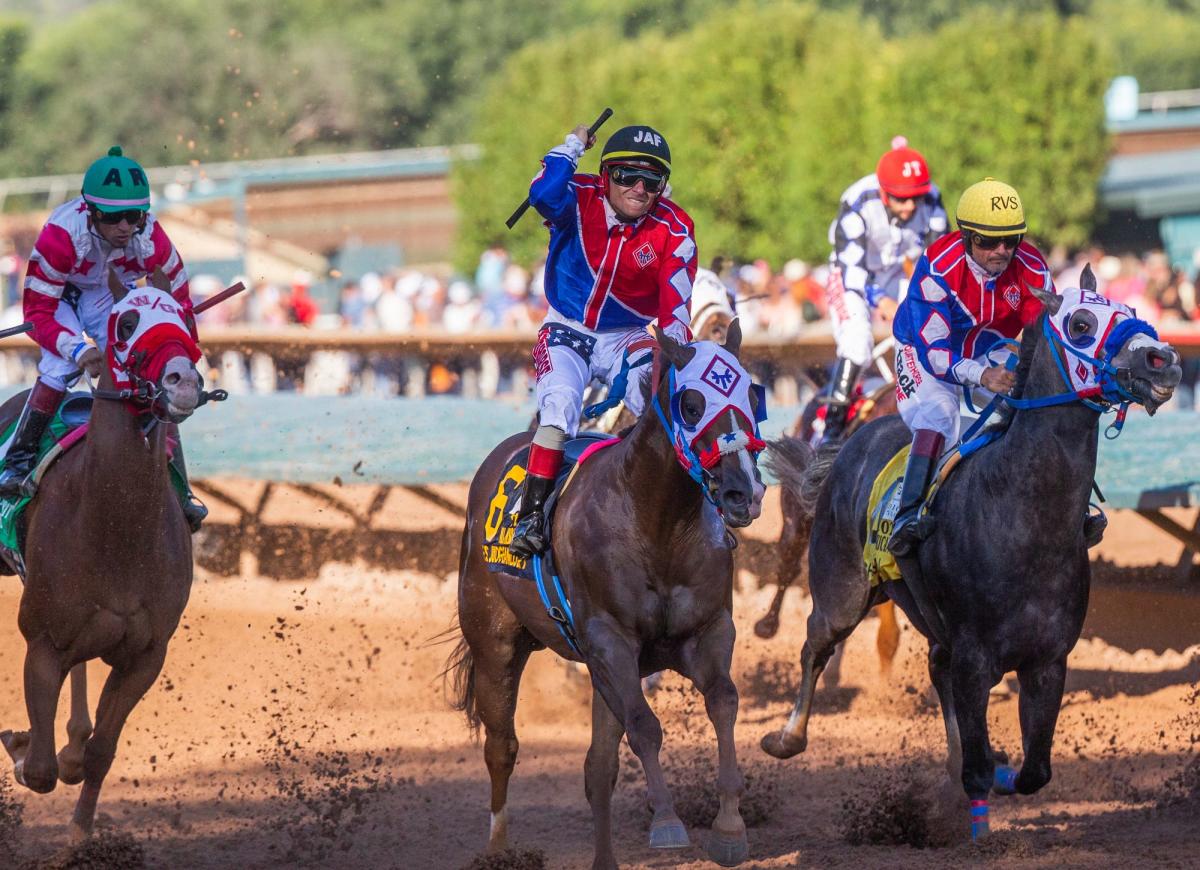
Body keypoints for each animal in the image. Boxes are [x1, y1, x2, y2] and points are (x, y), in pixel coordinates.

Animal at [451, 324, 768, 868]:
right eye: (691, 404)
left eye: (751, 396)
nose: (742, 492)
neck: (655, 522)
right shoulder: (610, 639)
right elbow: (645, 726)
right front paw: (667, 823)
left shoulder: (706, 631)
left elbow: (724, 701)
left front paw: (729, 826)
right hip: (495, 642)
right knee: (501, 746)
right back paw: (498, 848)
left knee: (597, 767)